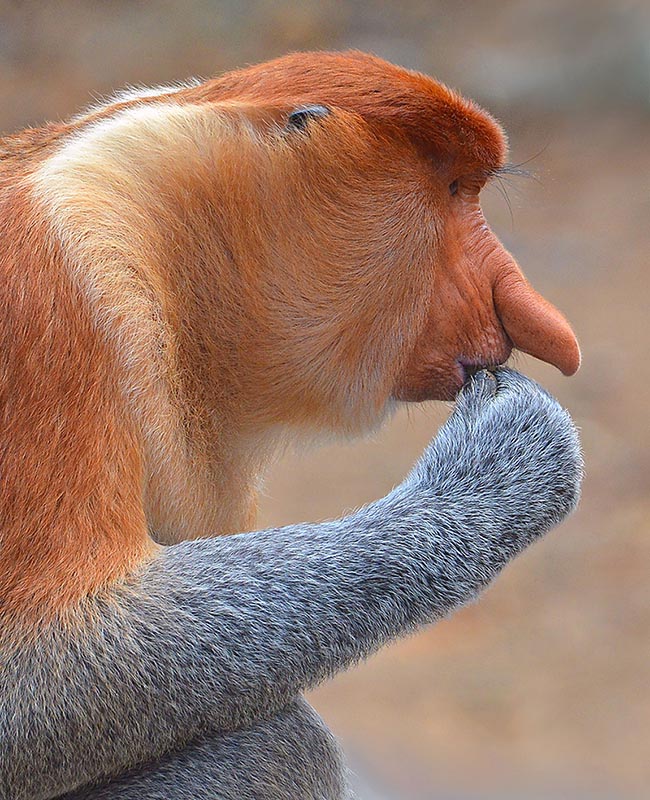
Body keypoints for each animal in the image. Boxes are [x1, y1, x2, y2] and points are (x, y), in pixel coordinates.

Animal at [0, 53, 576, 796]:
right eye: (452, 189)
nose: (519, 303)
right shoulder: (46, 300)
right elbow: (41, 664)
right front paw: (507, 460)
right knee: (281, 744)